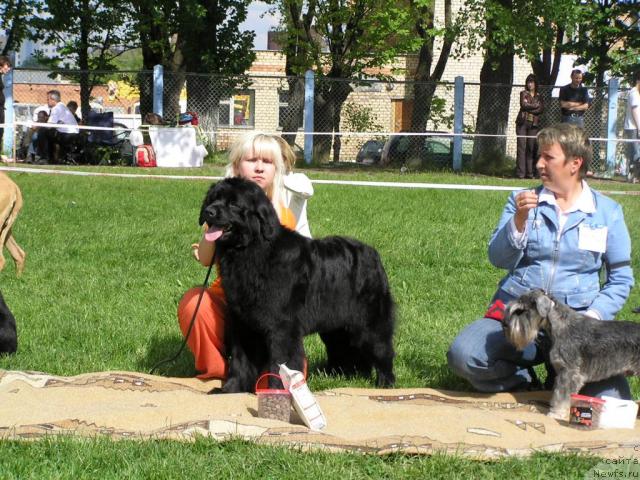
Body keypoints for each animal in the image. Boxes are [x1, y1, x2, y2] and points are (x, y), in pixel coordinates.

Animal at [202, 178, 398, 392]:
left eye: (234, 204)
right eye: (213, 199)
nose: (209, 211)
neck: (251, 250)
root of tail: (373, 253)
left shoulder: (282, 326)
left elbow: (281, 361)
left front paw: (277, 391)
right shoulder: (242, 323)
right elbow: (240, 361)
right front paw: (229, 390)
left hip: (369, 322)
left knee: (382, 349)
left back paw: (385, 383)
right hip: (336, 326)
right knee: (344, 349)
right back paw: (344, 375)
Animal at [504, 288, 640, 420]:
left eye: (520, 310)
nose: (504, 324)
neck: (561, 325)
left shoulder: (569, 373)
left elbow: (562, 396)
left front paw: (557, 413)